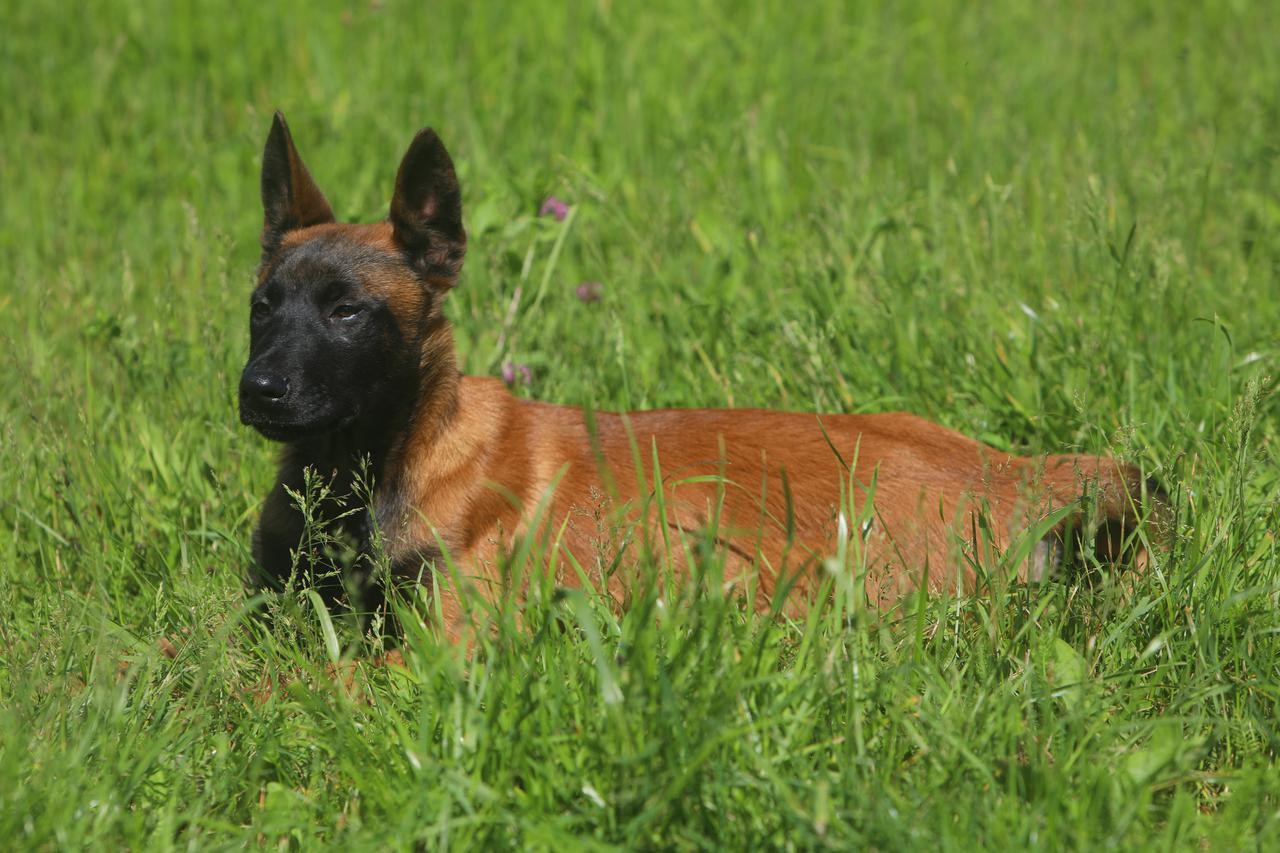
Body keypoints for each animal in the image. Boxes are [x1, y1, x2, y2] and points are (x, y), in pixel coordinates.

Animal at [235, 111, 1167, 630]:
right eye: (262, 306)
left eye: (348, 311)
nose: (257, 389)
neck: (372, 462)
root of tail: (1012, 476)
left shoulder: (444, 646)